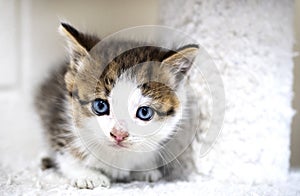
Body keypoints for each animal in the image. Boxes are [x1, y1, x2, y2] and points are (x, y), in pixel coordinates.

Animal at [35, 22, 199, 188]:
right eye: (100, 106)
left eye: (144, 112)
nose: (119, 135)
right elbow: (65, 154)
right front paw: (88, 175)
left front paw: (145, 169)